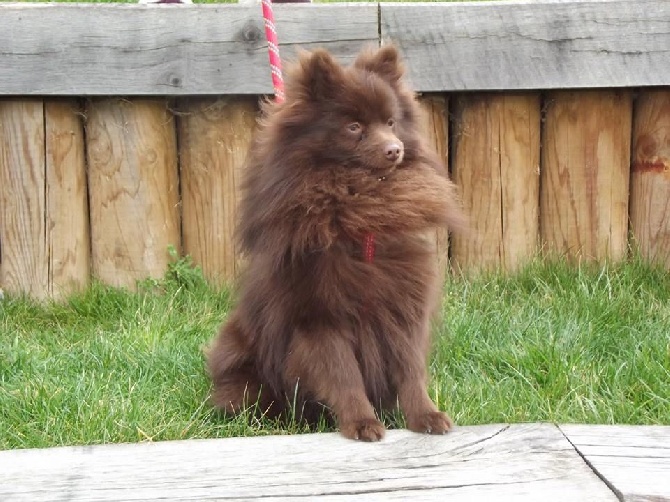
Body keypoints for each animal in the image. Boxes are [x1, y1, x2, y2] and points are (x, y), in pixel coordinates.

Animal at [207, 45, 464, 442]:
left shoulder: (403, 310)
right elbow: (344, 376)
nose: (394, 149)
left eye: (391, 122)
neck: (362, 222)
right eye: (353, 127)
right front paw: (361, 423)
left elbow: (410, 371)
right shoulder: (320, 318)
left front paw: (426, 416)